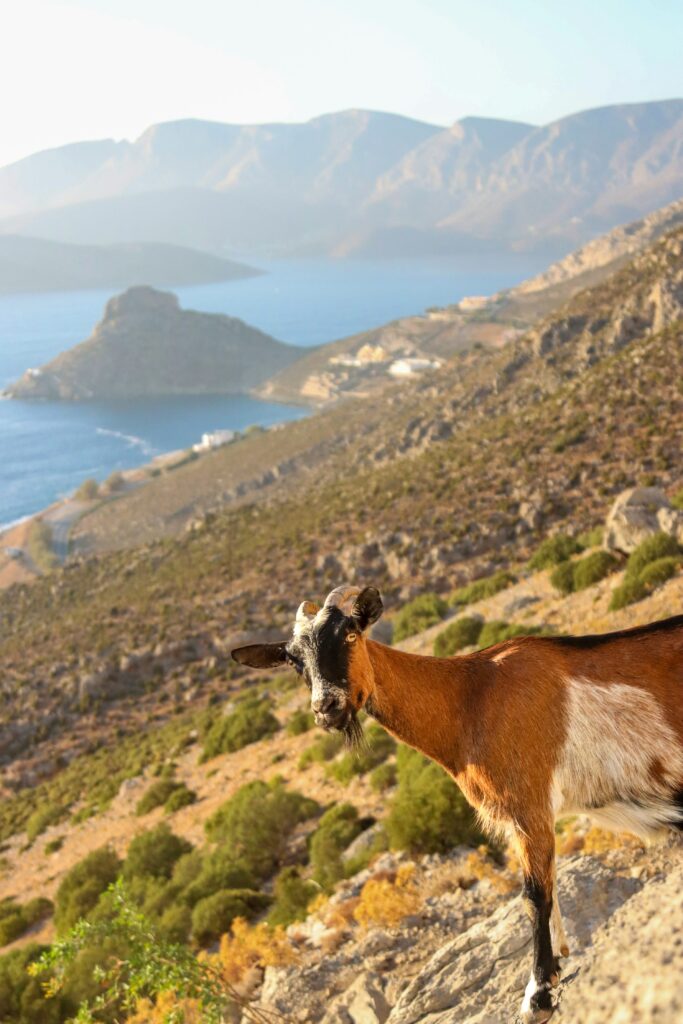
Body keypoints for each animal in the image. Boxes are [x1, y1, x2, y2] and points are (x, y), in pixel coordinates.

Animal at [232, 584, 683, 1022]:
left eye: (350, 633)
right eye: (293, 660)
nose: (326, 707)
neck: (469, 698)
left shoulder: (529, 806)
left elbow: (536, 895)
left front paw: (537, 995)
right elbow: (547, 892)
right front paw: (554, 971)